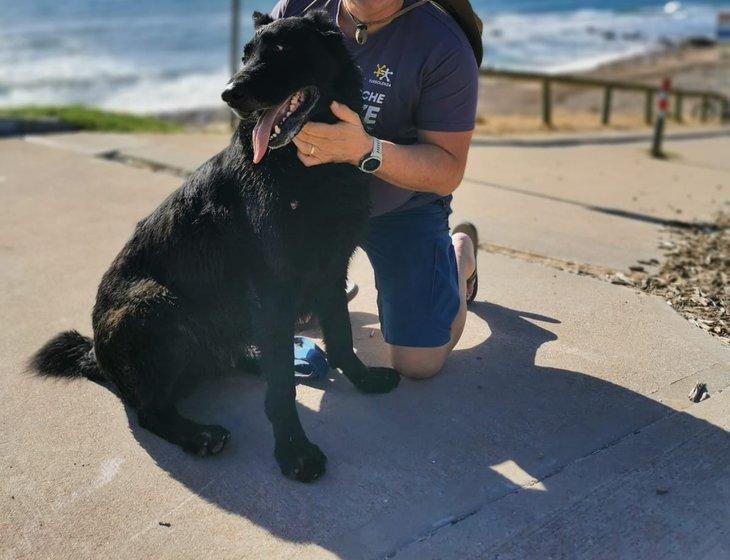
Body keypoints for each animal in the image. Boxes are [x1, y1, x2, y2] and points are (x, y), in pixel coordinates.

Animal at [31, 12, 398, 486]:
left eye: (282, 50)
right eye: (246, 56)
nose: (228, 94)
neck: (304, 170)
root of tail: (96, 355)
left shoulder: (333, 271)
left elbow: (340, 339)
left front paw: (362, 379)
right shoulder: (276, 289)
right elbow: (283, 392)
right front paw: (294, 451)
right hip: (151, 306)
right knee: (150, 410)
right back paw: (197, 433)